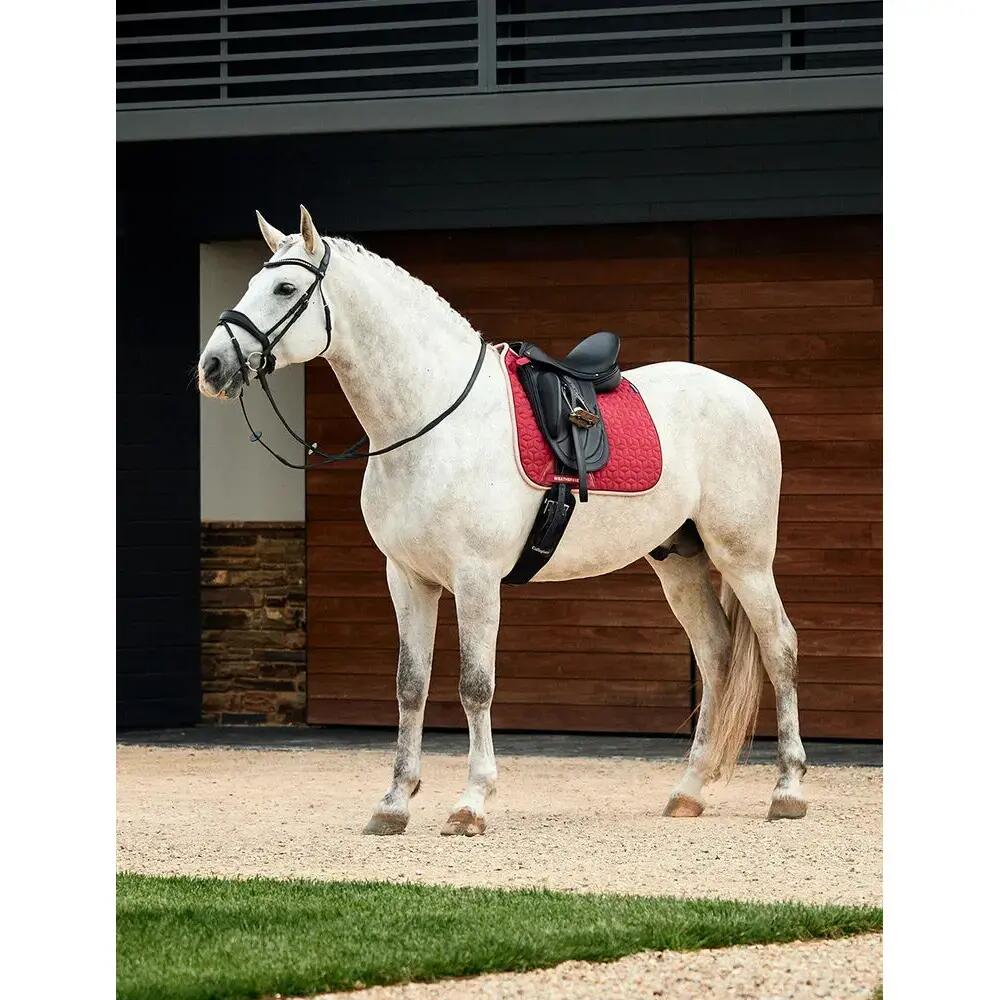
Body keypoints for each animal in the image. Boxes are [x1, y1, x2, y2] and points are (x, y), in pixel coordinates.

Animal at [197, 205, 807, 836]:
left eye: (285, 288)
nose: (212, 366)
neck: (430, 423)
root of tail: (744, 397)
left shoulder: (475, 578)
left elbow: (475, 685)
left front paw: (470, 802)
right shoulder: (407, 578)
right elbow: (410, 686)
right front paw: (393, 803)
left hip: (744, 558)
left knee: (778, 647)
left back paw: (787, 790)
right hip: (679, 563)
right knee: (716, 655)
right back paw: (688, 792)